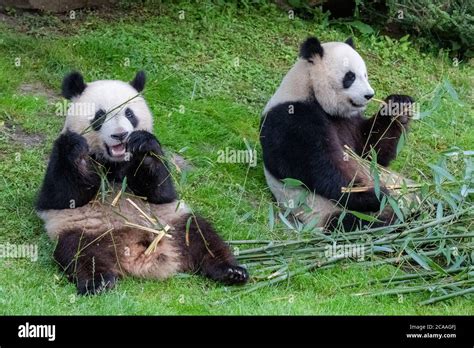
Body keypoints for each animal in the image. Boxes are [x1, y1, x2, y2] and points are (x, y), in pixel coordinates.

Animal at [36, 70, 248, 294]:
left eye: (130, 114)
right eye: (100, 115)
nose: (120, 135)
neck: (114, 161)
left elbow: (160, 192)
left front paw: (143, 146)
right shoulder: (59, 162)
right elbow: (61, 196)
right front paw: (77, 150)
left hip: (172, 222)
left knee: (202, 236)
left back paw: (231, 271)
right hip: (83, 230)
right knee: (80, 253)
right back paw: (98, 282)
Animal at [260, 36, 418, 231]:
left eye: (365, 74)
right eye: (350, 76)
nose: (369, 95)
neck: (310, 89)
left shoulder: (349, 121)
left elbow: (372, 151)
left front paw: (399, 106)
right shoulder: (292, 120)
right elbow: (320, 167)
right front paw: (375, 194)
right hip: (325, 211)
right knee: (363, 224)